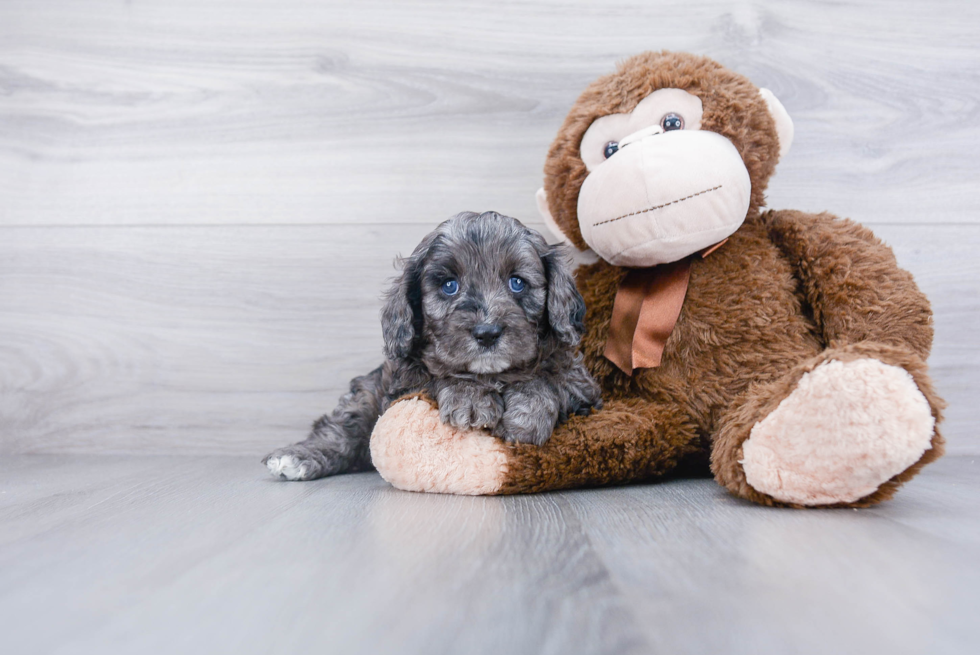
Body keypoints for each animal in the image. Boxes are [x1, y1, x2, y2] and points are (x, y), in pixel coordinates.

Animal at [268, 211, 604, 482]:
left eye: (517, 283)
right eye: (449, 285)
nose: (487, 333)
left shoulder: (582, 390)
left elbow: (546, 380)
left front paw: (525, 416)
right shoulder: (404, 385)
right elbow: (441, 376)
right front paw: (470, 398)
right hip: (367, 393)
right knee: (341, 428)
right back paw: (296, 458)